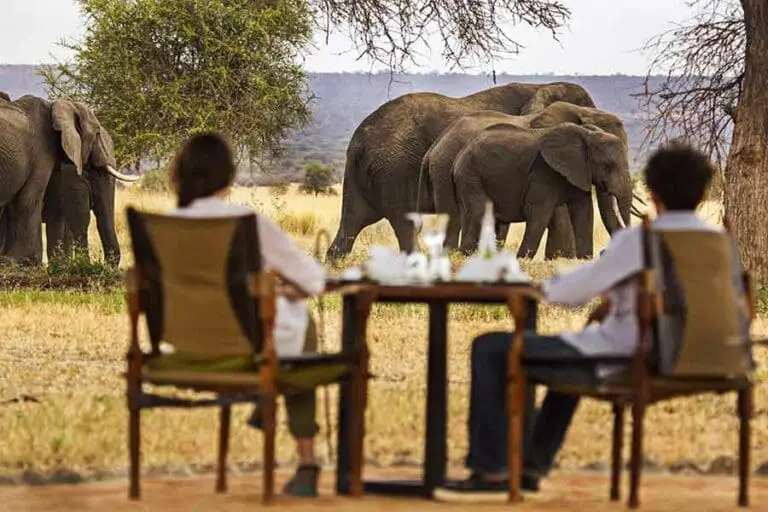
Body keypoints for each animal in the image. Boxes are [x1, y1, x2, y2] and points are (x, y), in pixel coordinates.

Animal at [325, 81, 597, 261]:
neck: (544, 87)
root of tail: (358, 141)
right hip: (392, 171)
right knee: (406, 224)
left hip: (364, 176)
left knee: (353, 220)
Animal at [417, 102, 639, 256]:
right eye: (608, 165)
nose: (604, 252)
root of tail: (432, 149)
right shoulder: (544, 171)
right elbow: (543, 212)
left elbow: (584, 212)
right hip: (456, 173)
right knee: (465, 216)